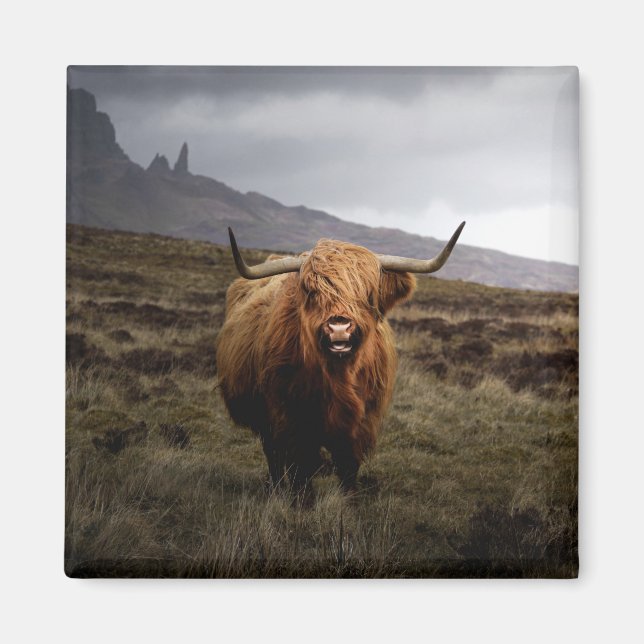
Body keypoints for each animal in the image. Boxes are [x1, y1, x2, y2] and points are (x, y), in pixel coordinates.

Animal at [216, 223, 465, 501]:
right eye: (312, 290)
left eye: (367, 293)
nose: (339, 327)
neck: (338, 376)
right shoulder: (289, 417)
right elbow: (300, 467)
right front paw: (302, 503)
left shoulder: (362, 423)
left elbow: (348, 465)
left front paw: (349, 501)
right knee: (274, 456)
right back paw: (275, 489)